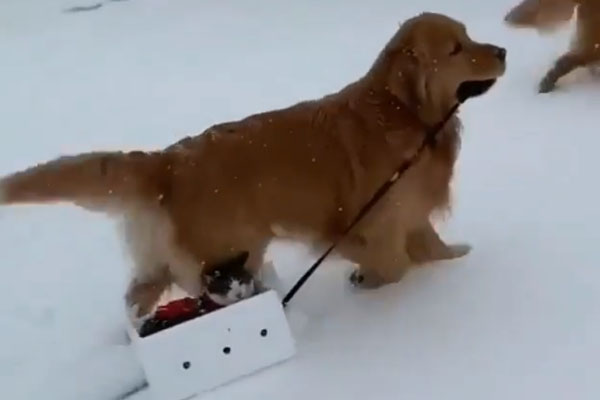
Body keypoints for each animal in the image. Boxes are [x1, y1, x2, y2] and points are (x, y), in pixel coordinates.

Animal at [0, 12, 506, 318]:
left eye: (469, 36)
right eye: (456, 49)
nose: (501, 50)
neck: (404, 112)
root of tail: (169, 161)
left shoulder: (408, 213)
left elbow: (431, 246)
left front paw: (455, 260)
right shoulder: (372, 221)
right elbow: (392, 261)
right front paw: (370, 283)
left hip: (169, 261)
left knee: (136, 300)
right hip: (231, 253)